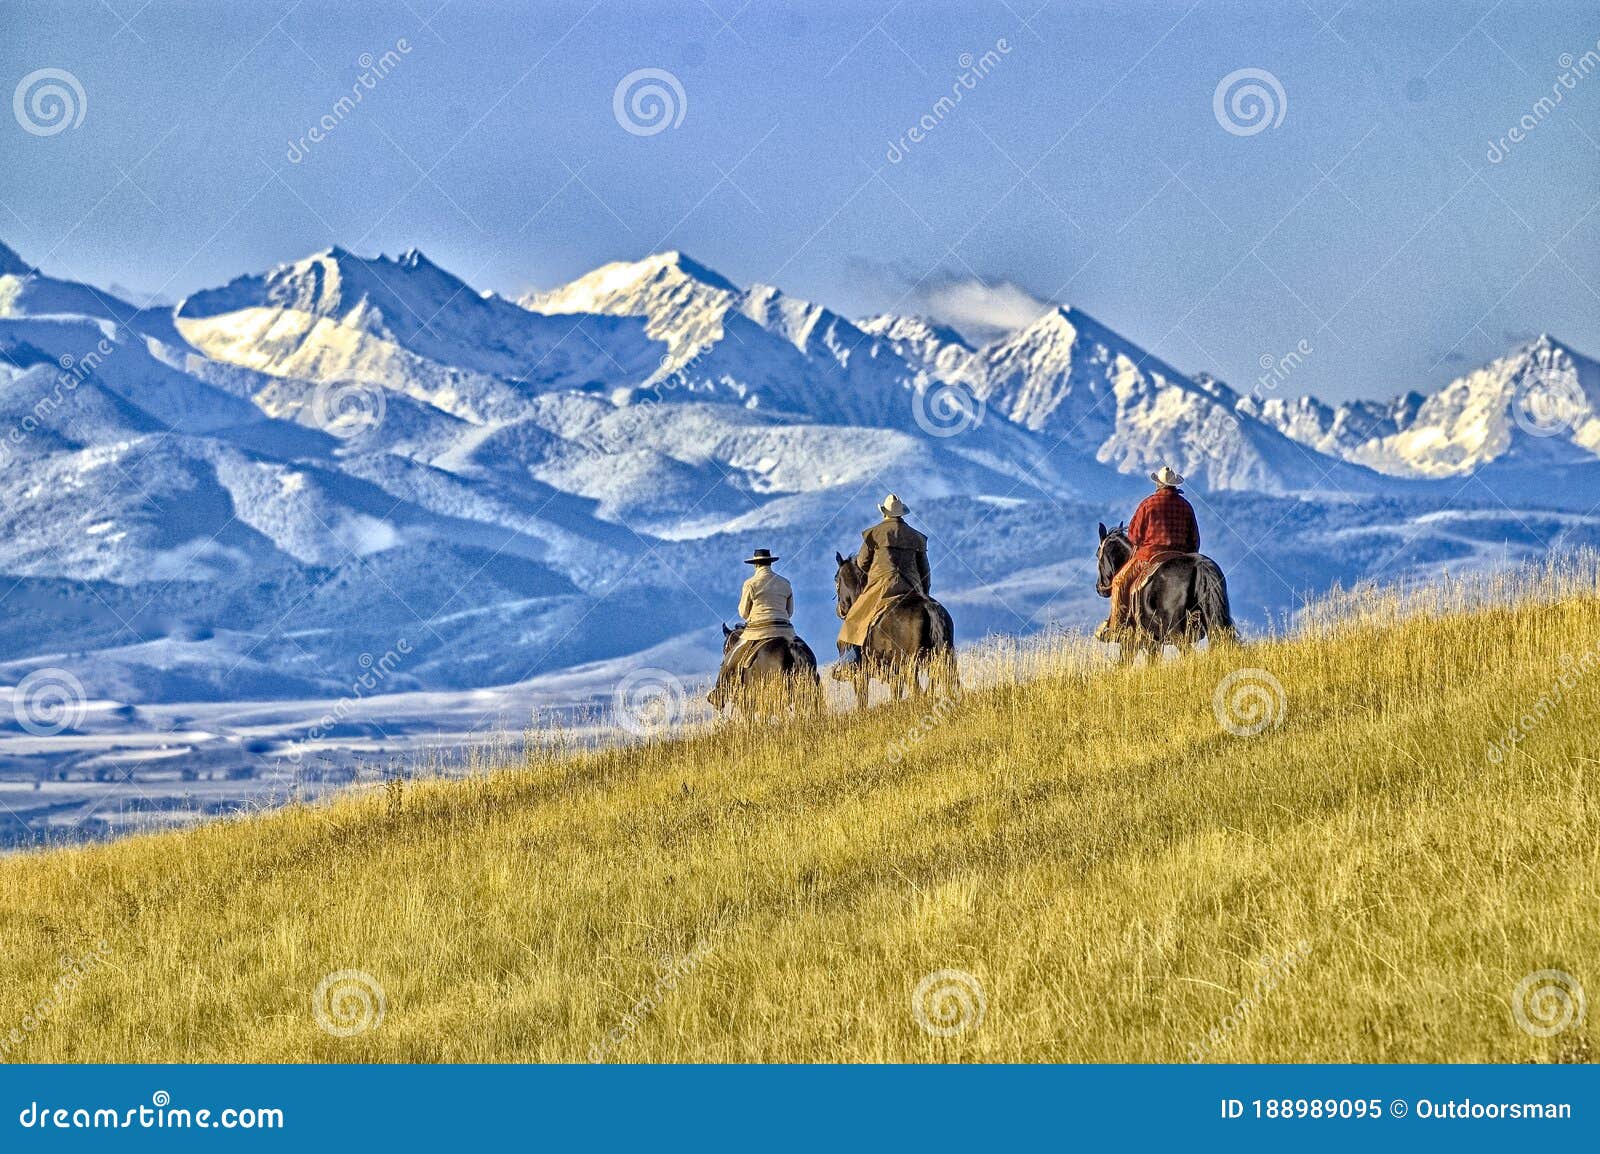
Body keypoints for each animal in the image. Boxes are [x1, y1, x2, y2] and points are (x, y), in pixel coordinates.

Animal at [832, 553, 953, 707]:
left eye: (836, 578)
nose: (840, 610)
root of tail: (927, 606)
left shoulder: (860, 674)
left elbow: (862, 701)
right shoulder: (894, 674)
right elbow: (895, 695)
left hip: (910, 666)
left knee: (918, 691)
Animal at [1088, 518, 1235, 656]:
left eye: (1097, 554)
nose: (1099, 588)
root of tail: (1198, 564)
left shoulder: (1131, 641)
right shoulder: (1154, 642)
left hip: (1177, 634)